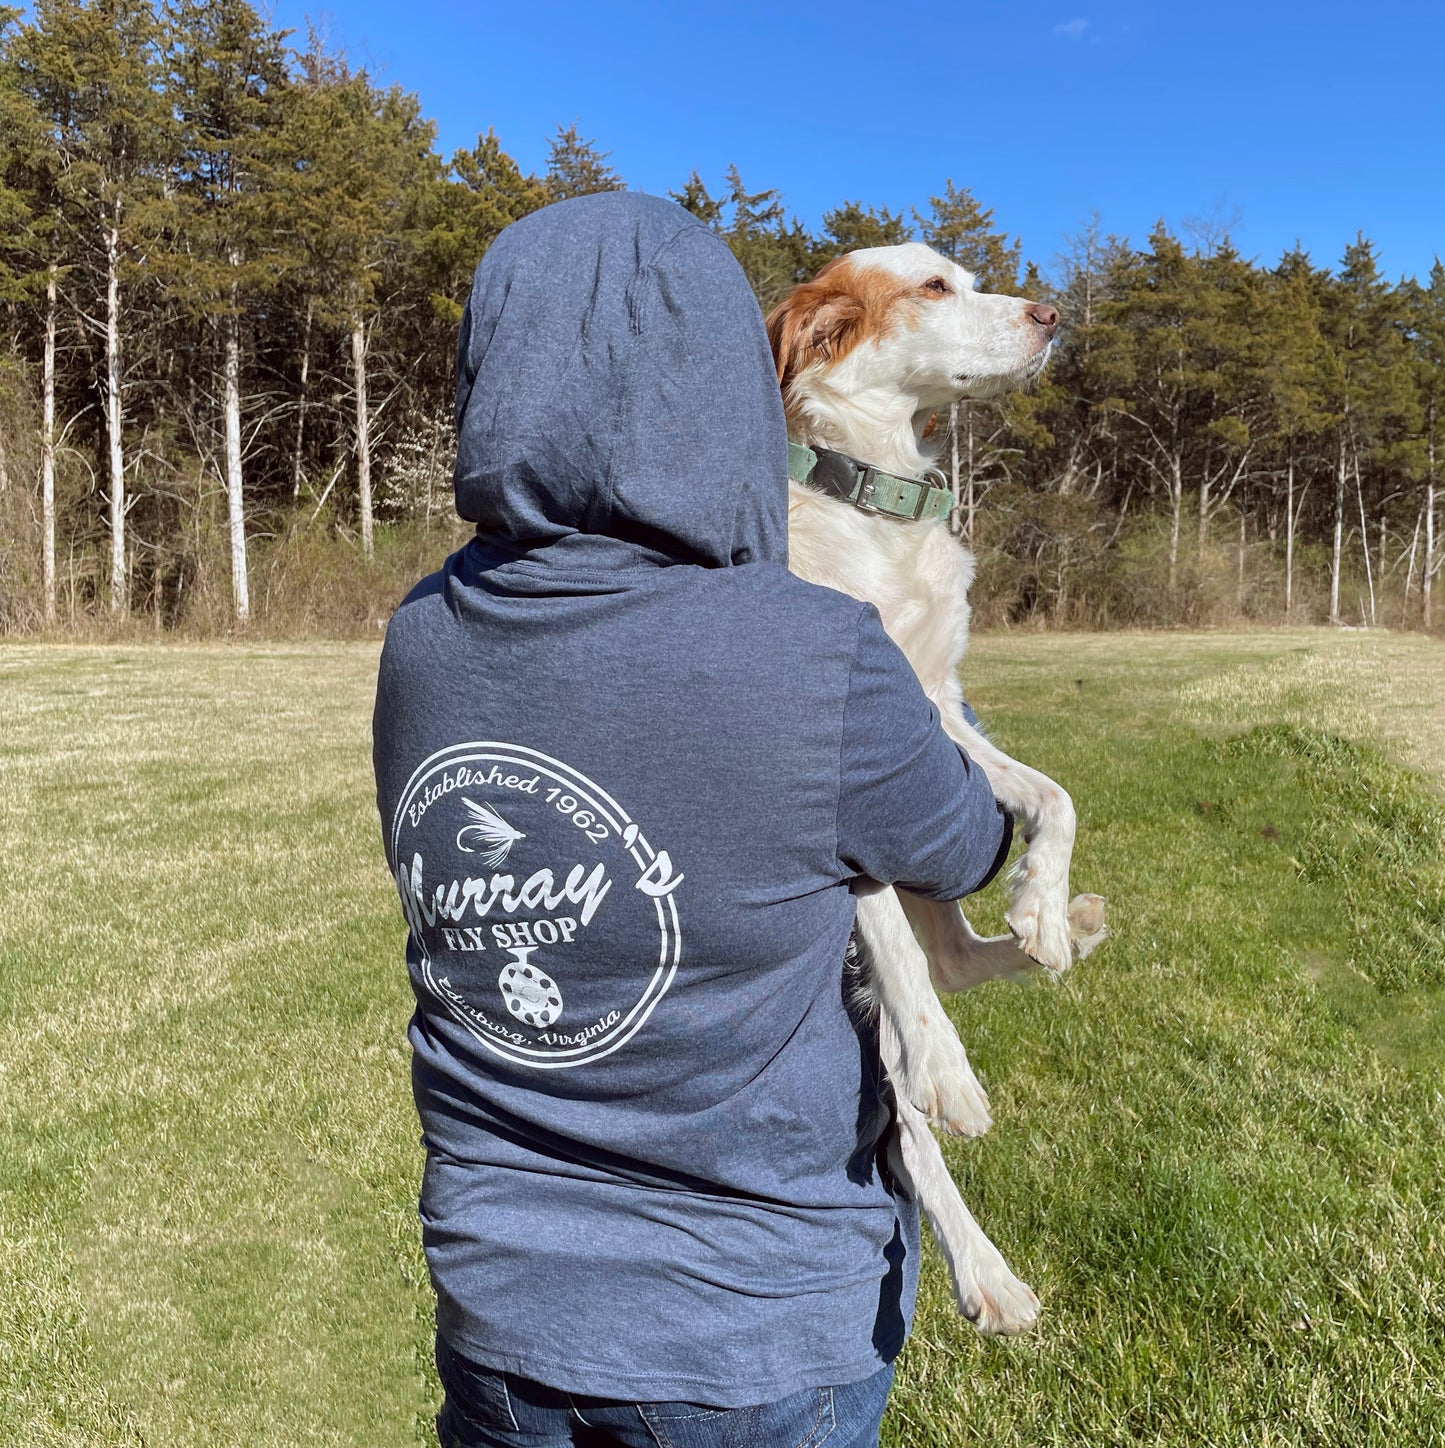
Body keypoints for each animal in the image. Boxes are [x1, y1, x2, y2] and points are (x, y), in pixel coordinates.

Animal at [770, 240, 1106, 1332]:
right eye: (929, 287)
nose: (1052, 315)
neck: (874, 511)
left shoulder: (939, 718)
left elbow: (1052, 794)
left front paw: (1039, 902)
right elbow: (902, 968)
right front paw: (947, 1066)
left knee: (957, 957)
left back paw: (1068, 928)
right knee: (907, 1123)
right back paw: (982, 1273)